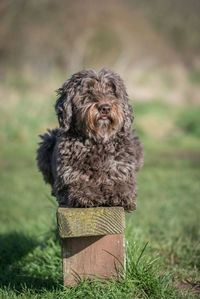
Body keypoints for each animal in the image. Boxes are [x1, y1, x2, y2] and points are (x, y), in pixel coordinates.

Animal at [36, 69, 144, 212]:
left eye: (112, 92)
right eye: (87, 91)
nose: (105, 108)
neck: (98, 142)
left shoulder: (123, 171)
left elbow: (123, 184)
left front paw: (120, 194)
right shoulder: (69, 177)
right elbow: (79, 185)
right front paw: (88, 194)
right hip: (46, 143)